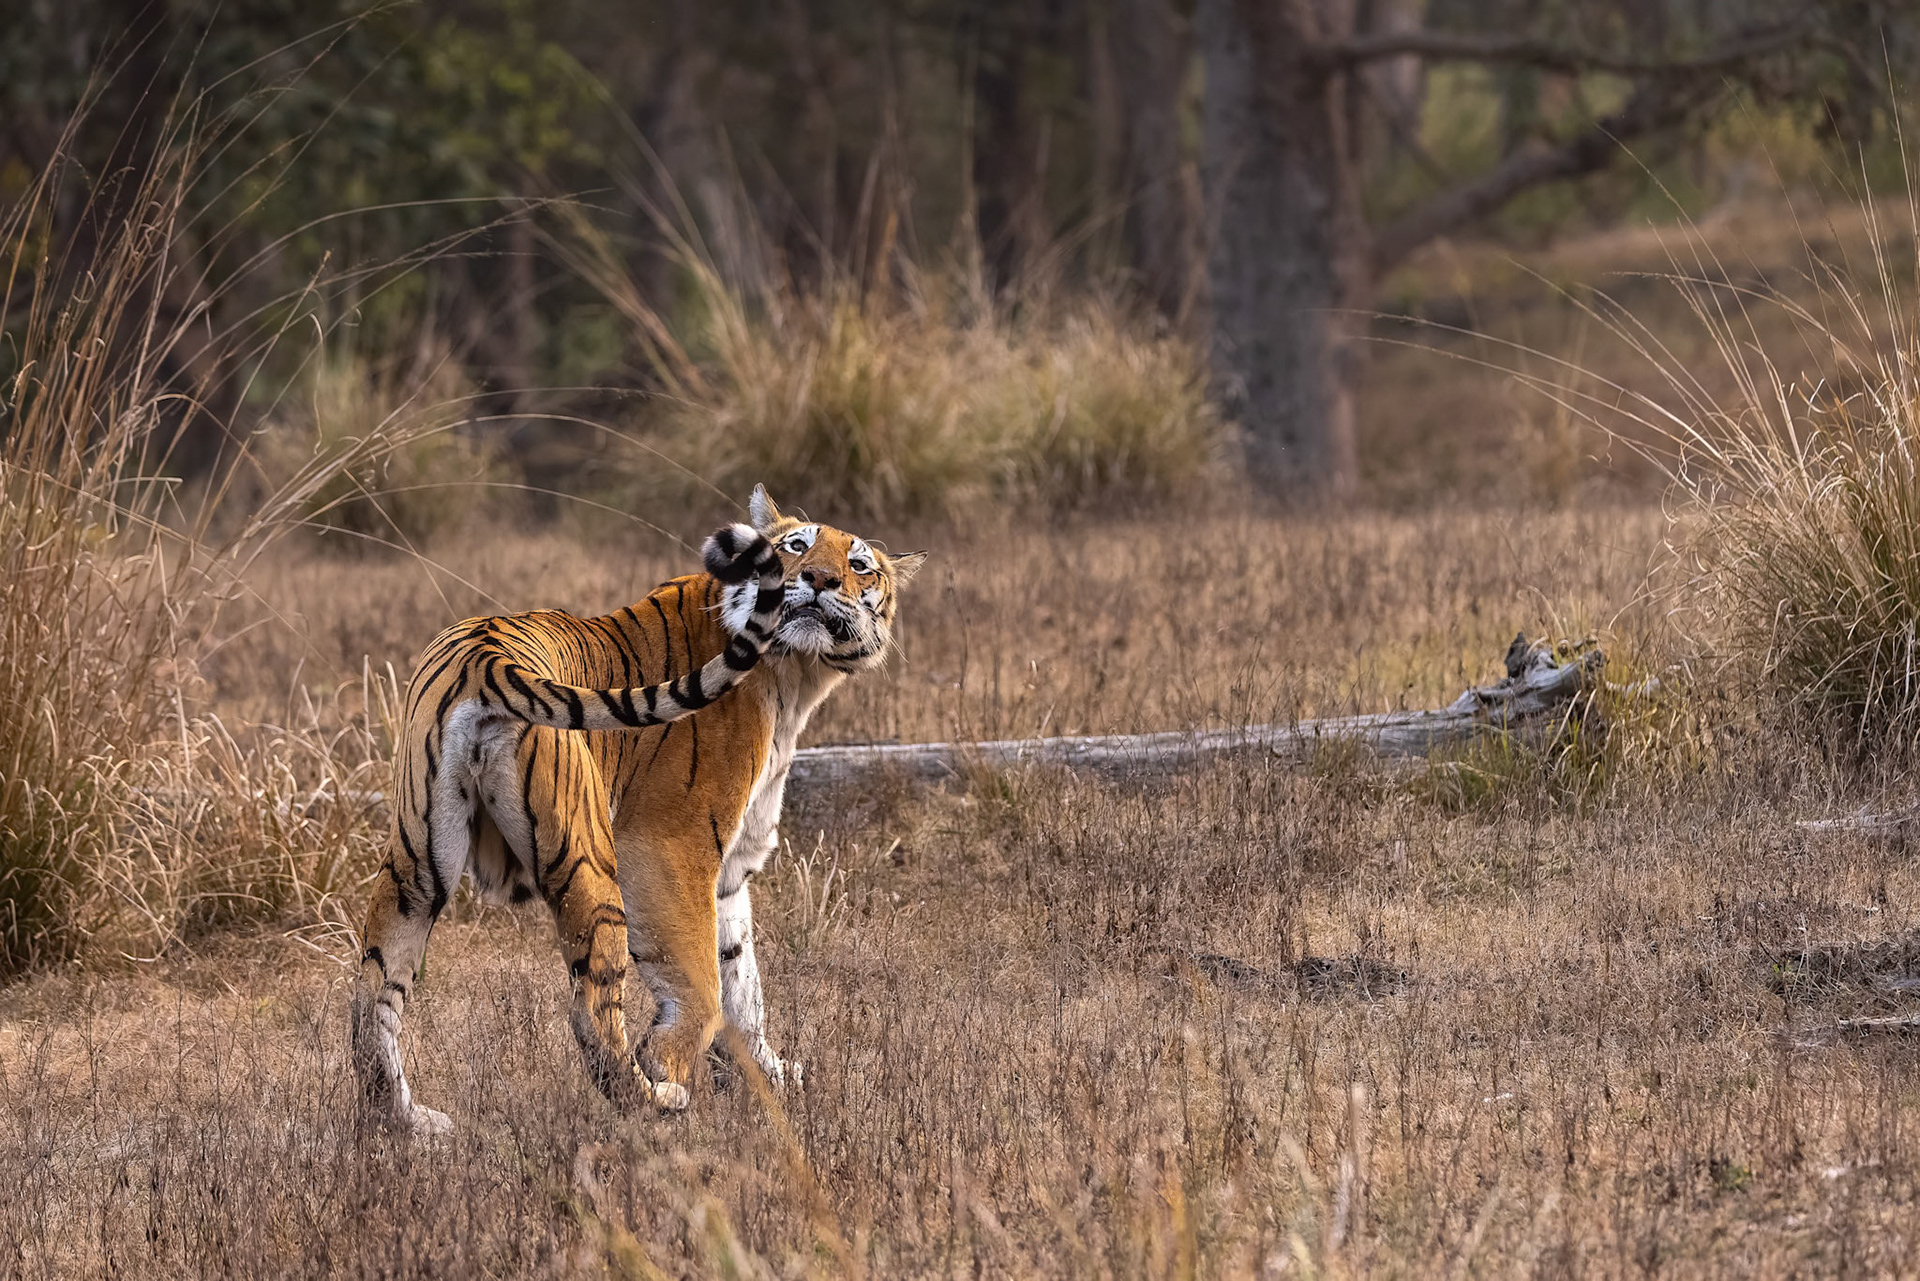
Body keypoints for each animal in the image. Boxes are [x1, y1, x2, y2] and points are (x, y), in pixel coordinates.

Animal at [350, 486, 925, 1133]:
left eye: (859, 566)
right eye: (798, 546)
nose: (821, 579)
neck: (794, 678)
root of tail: (487, 658)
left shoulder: (732, 871)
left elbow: (742, 980)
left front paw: (772, 1077)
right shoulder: (670, 844)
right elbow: (703, 983)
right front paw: (671, 1061)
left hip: (417, 864)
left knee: (372, 996)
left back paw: (406, 1123)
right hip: (589, 857)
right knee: (590, 1009)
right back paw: (652, 1100)